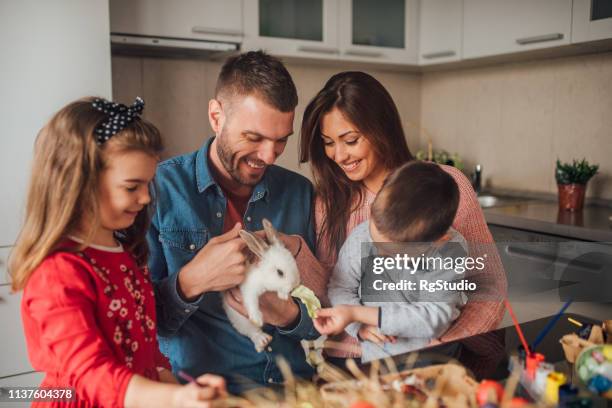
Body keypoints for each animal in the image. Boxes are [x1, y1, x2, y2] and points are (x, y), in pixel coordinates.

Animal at [224, 218, 302, 352]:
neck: (263, 275)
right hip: (240, 321)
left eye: (295, 263)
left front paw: (283, 296)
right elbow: (251, 301)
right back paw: (262, 341)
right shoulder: (248, 289)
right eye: (280, 272)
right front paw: (257, 319)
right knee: (253, 332)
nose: (295, 284)